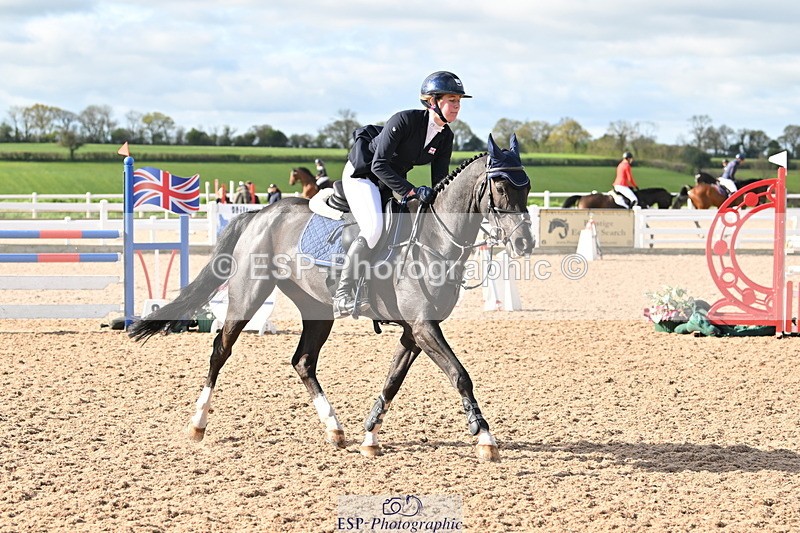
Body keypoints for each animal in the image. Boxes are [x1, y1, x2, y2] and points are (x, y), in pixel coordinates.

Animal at [128, 134, 536, 462]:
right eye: (501, 187)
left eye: (527, 187)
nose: (524, 243)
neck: (435, 237)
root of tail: (261, 213)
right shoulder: (422, 326)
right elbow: (460, 375)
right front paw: (485, 439)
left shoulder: (414, 332)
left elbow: (393, 381)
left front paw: (370, 437)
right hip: (248, 294)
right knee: (221, 350)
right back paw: (198, 423)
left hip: (317, 309)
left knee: (303, 362)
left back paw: (334, 428)